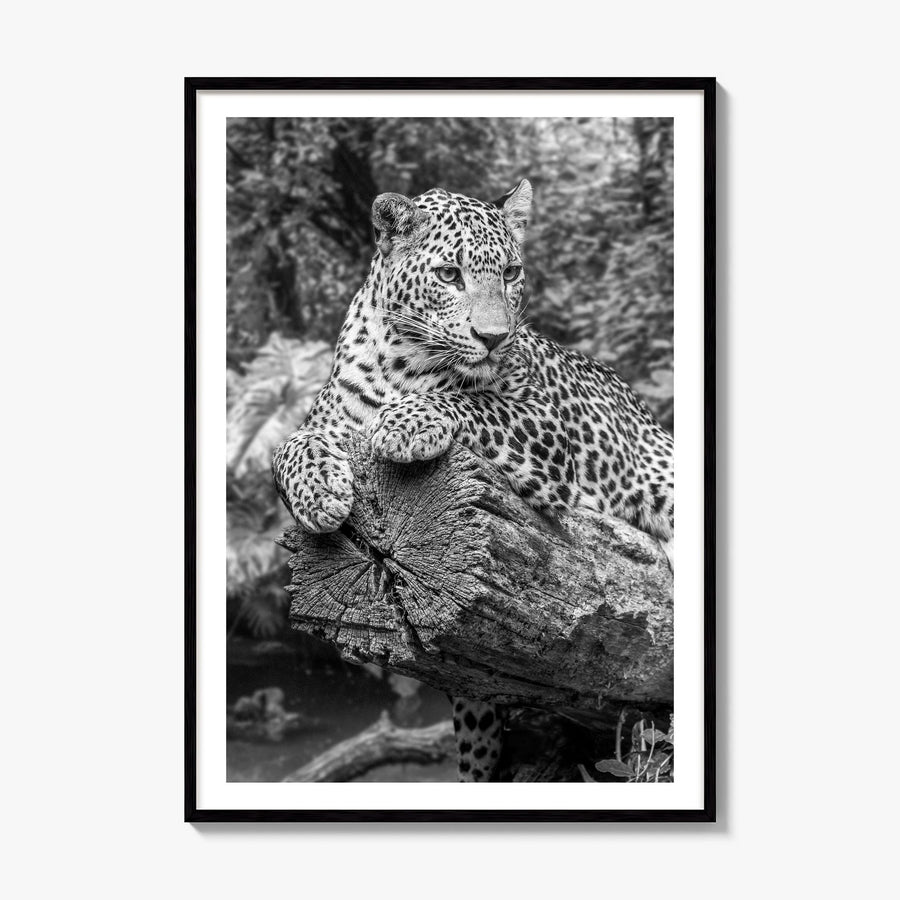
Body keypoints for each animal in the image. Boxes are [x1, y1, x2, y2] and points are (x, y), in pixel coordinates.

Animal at [273, 179, 674, 782]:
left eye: (510, 272)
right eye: (448, 275)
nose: (493, 337)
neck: (403, 364)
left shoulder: (542, 422)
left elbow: (474, 402)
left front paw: (404, 424)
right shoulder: (324, 420)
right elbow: (288, 447)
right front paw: (319, 493)